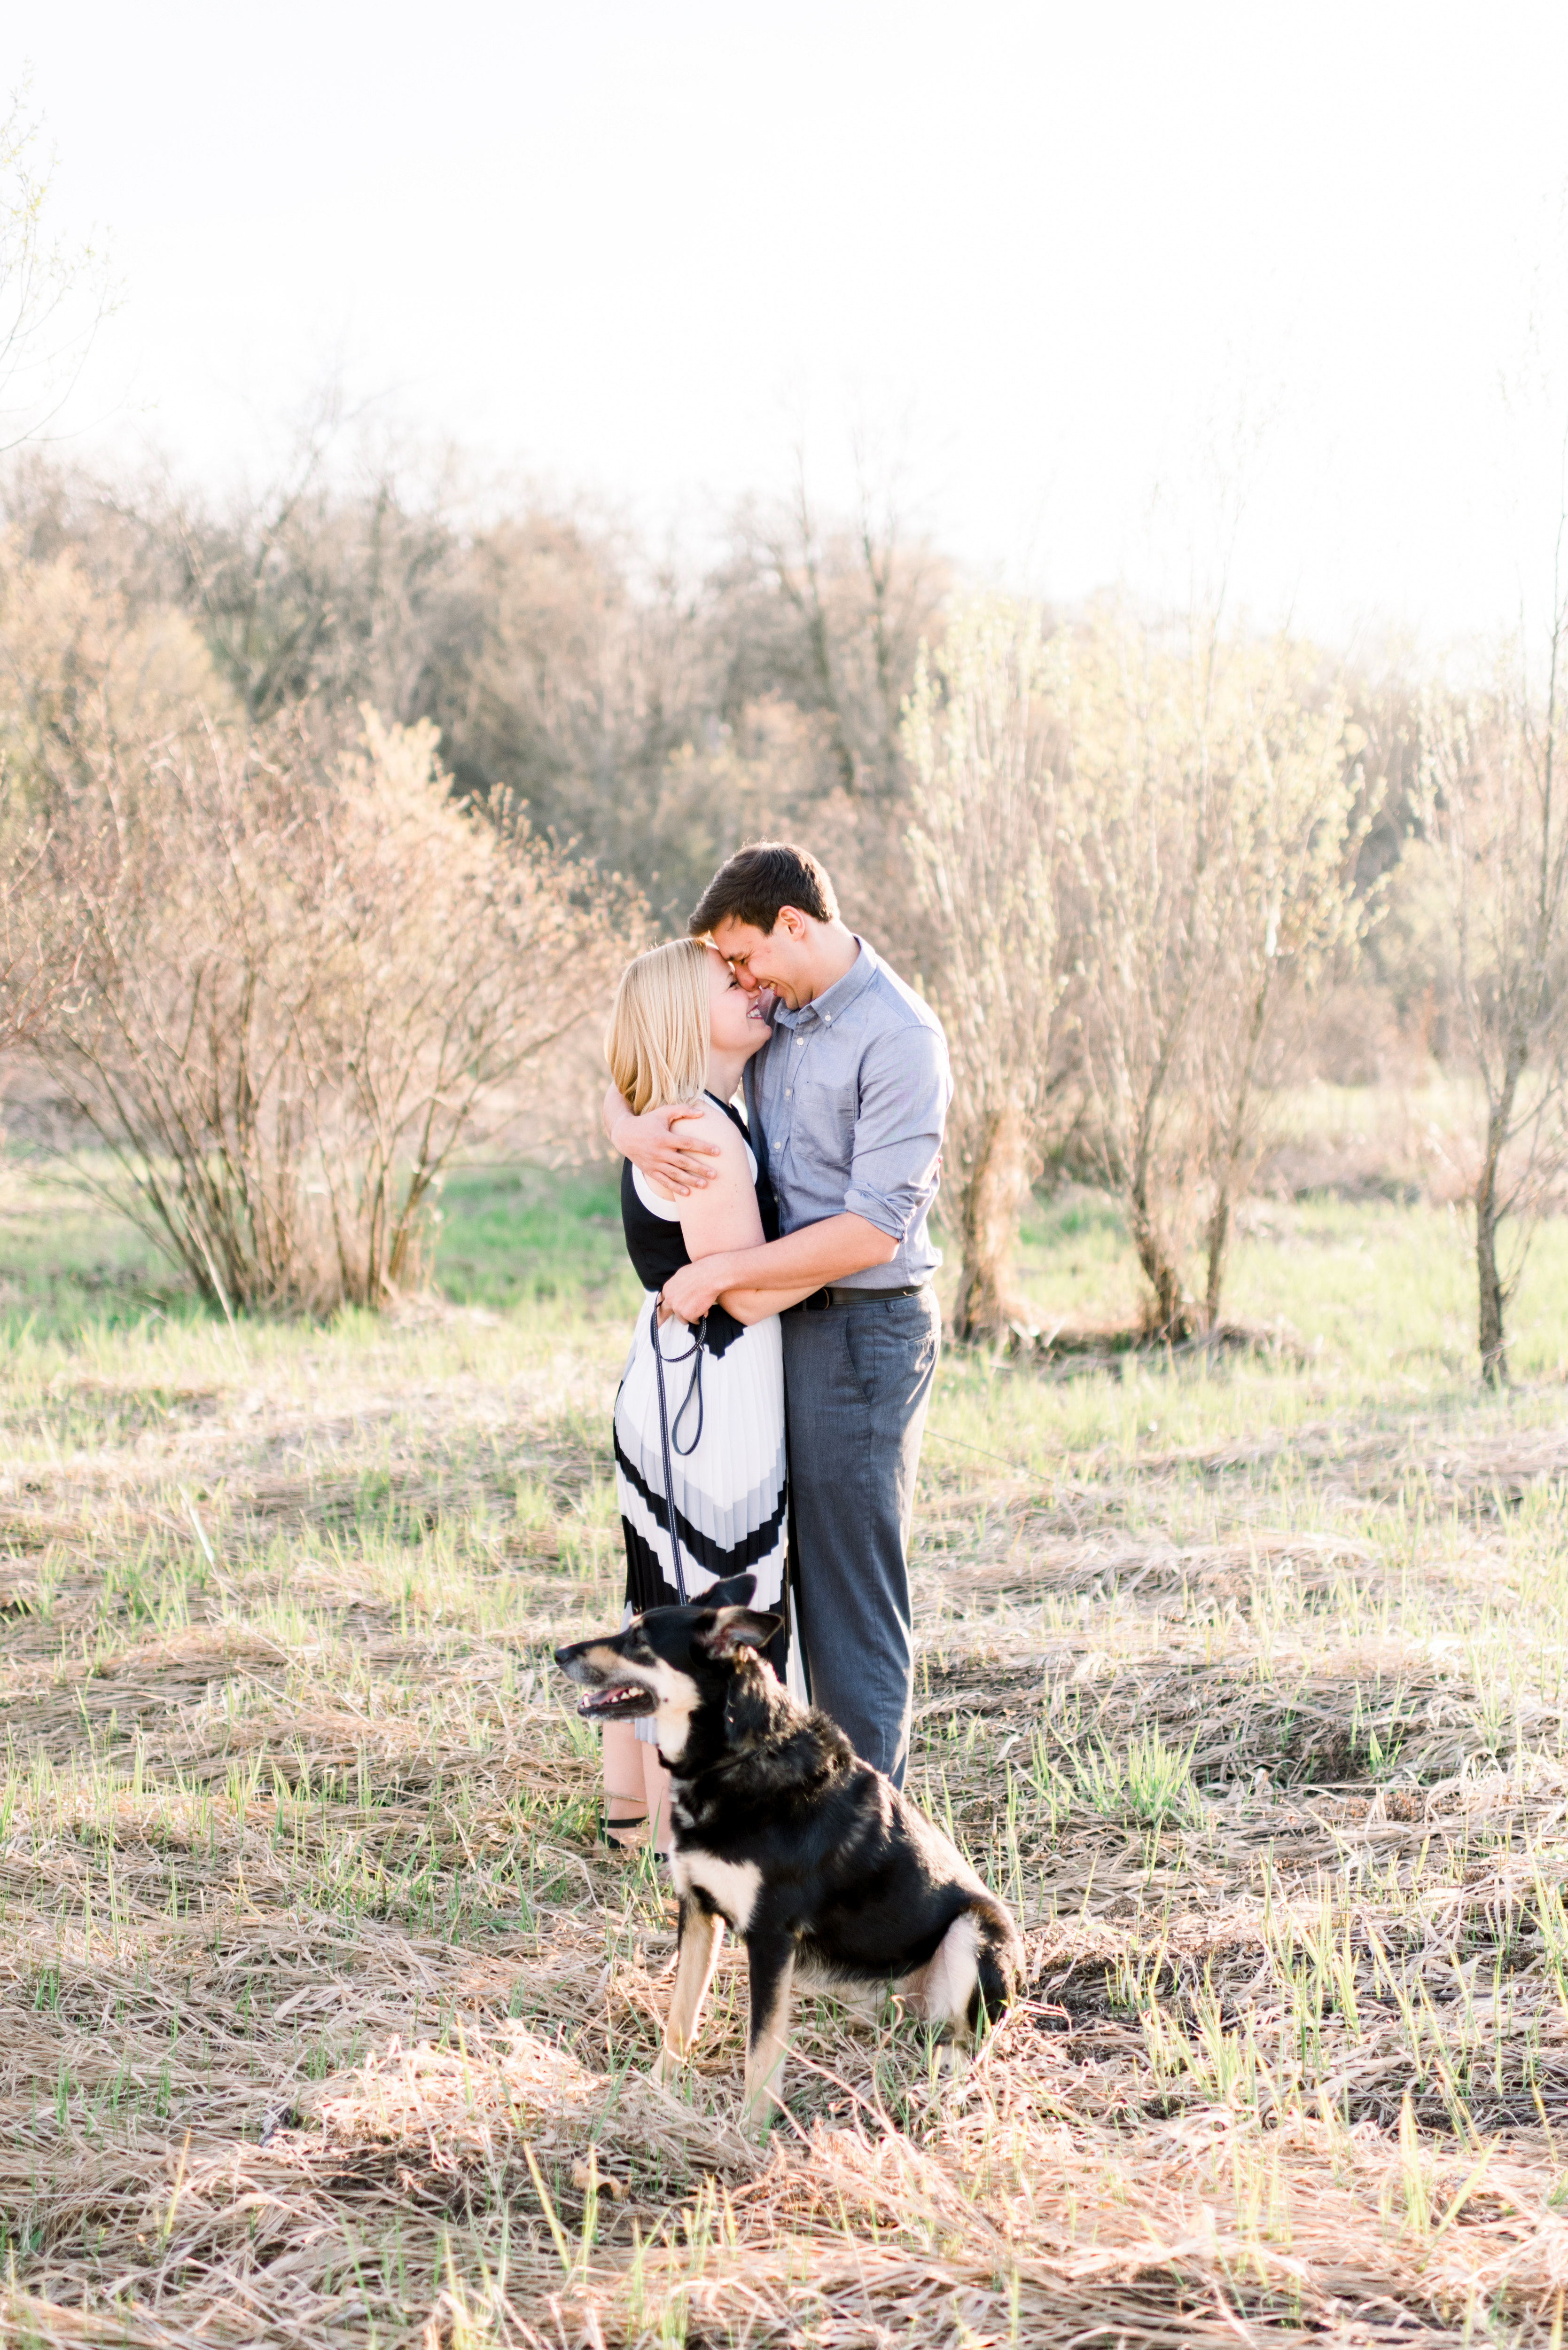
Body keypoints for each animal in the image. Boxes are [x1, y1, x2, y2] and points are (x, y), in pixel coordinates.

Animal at [554, 1579, 1030, 2134]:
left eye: (638, 1641)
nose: (558, 1653)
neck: (731, 1759)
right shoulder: (697, 1911)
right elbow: (680, 2015)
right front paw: (655, 2088)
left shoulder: (770, 1935)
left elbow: (761, 2046)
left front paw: (749, 2131)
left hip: (973, 1929)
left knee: (964, 2042)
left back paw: (937, 2088)